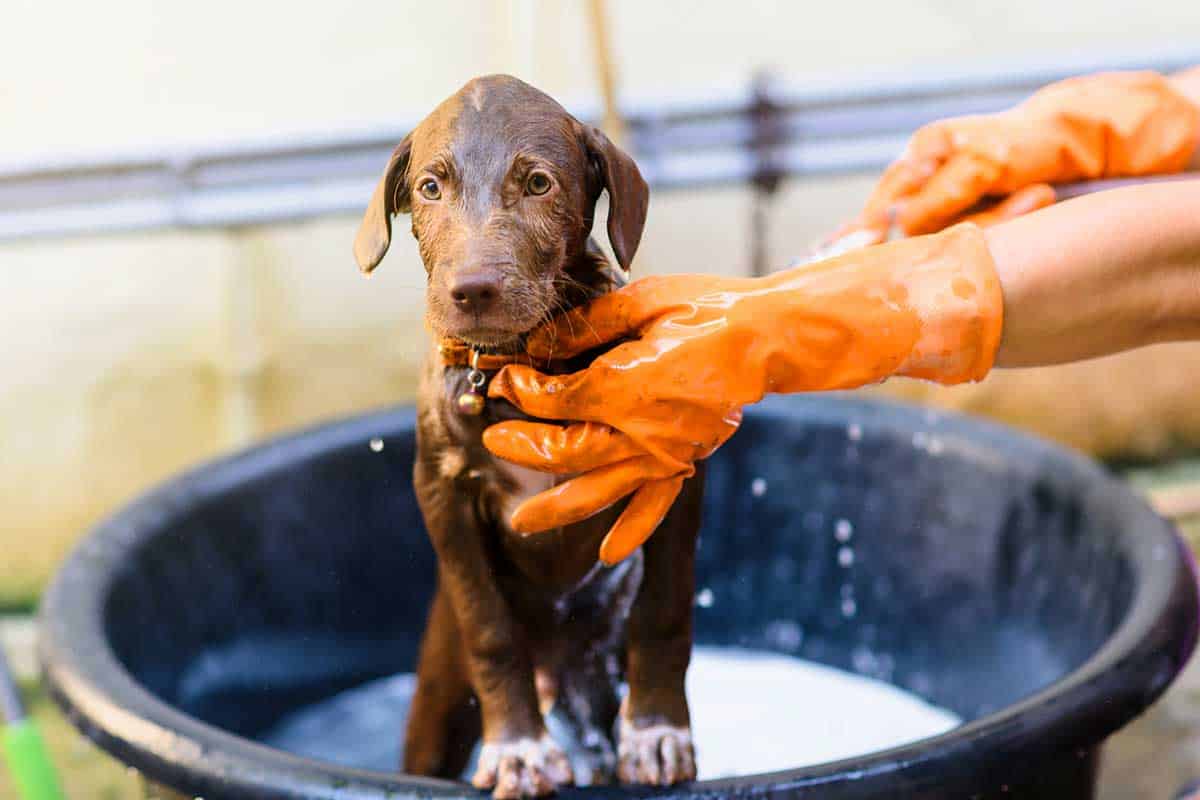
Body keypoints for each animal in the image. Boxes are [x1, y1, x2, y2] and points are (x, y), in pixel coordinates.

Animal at [352, 73, 700, 796]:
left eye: (539, 183)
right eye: (430, 187)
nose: (472, 290)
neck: (522, 364)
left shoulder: (677, 474)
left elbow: (665, 608)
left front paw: (657, 731)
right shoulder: (443, 492)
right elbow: (490, 627)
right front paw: (519, 748)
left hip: (596, 674)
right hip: (439, 694)